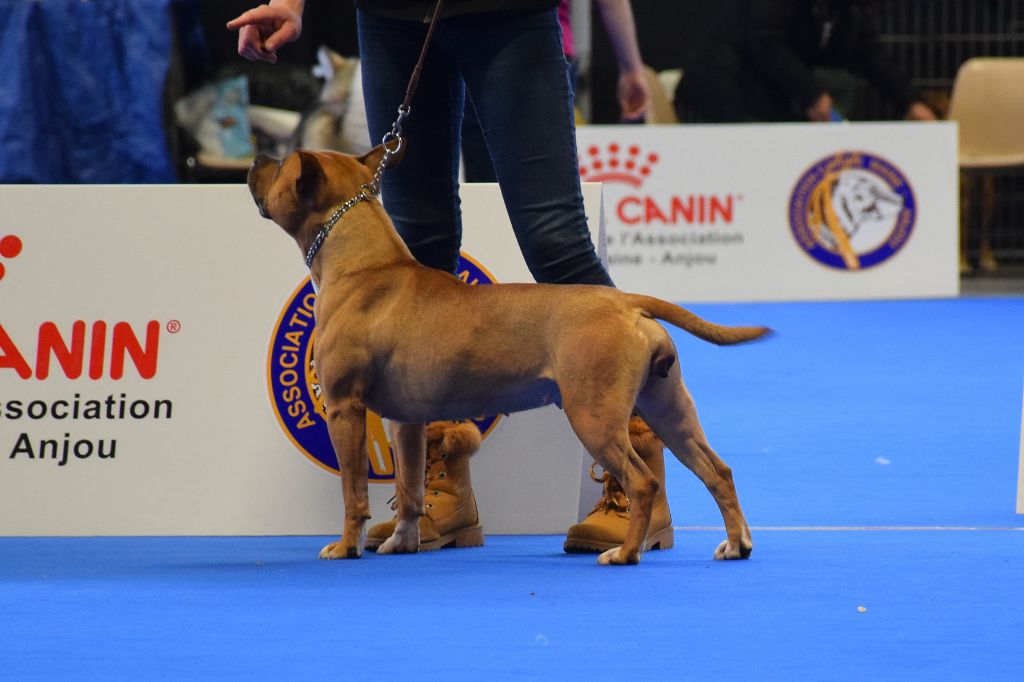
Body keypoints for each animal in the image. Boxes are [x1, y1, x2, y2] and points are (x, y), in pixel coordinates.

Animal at [243, 147, 770, 561]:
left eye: (283, 165)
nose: (256, 159)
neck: (364, 263)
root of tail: (626, 302)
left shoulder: (344, 408)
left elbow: (352, 488)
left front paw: (346, 545)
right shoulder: (405, 421)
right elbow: (410, 488)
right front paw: (402, 542)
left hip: (595, 414)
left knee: (642, 481)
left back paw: (625, 552)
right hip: (668, 408)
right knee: (716, 469)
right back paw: (736, 544)